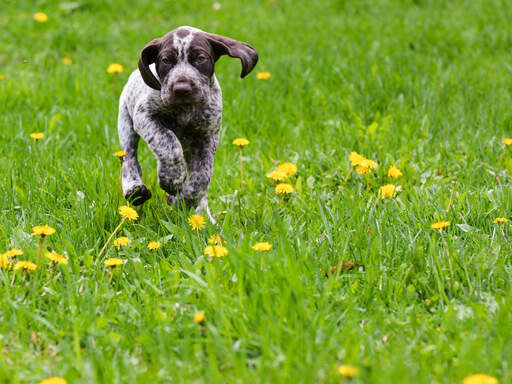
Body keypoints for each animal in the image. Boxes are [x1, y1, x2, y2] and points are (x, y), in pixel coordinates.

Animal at [117, 26, 258, 222]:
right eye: (166, 60)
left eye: (200, 58)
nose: (181, 89)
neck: (185, 109)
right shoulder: (144, 116)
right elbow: (168, 143)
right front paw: (171, 178)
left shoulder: (208, 136)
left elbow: (201, 179)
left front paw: (182, 201)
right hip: (126, 124)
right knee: (129, 160)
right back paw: (135, 191)